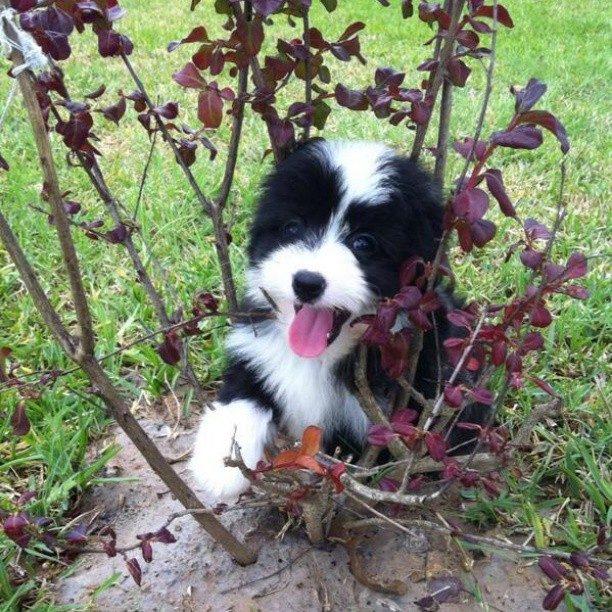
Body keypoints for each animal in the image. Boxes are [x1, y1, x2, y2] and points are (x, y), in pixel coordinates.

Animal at [189, 140, 462, 502]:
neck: (319, 357)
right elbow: (243, 394)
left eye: (364, 242)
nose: (306, 282)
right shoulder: (258, 350)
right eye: (293, 227)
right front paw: (219, 462)